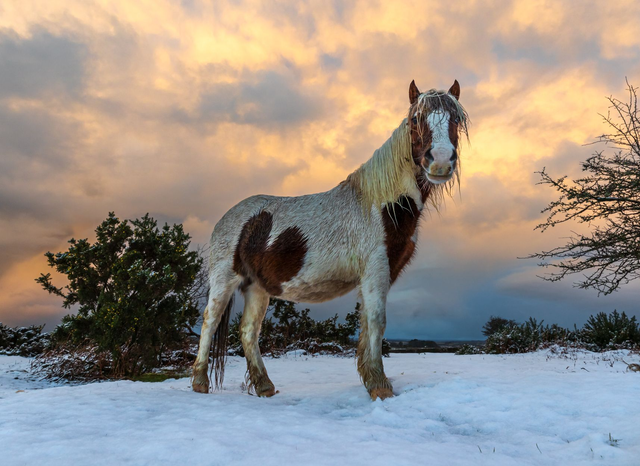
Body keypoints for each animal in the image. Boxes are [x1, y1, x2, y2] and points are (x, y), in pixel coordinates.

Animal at [191, 80, 469, 400]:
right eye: (415, 119)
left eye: (456, 119)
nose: (440, 162)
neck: (379, 205)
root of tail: (228, 217)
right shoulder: (376, 268)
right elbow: (377, 321)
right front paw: (380, 387)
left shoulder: (381, 273)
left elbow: (367, 323)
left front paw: (371, 379)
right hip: (225, 279)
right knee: (210, 321)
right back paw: (200, 382)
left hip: (256, 287)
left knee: (249, 331)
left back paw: (264, 387)